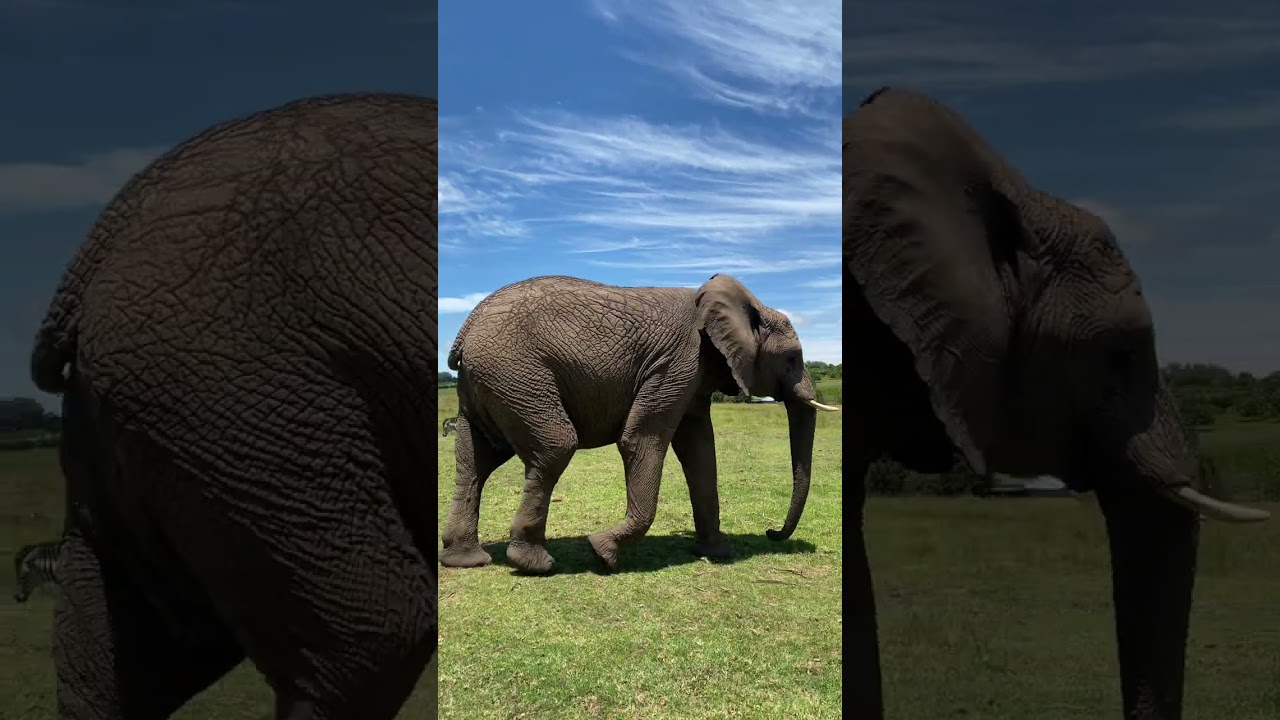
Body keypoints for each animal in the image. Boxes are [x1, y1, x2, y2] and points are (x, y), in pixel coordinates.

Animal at [438, 274, 840, 574]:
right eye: (792, 359)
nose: (772, 532)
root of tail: (466, 330)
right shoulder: (677, 362)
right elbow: (641, 439)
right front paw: (602, 551)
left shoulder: (692, 375)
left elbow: (700, 451)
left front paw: (715, 553)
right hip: (515, 372)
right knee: (555, 445)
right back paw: (535, 564)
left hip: (489, 381)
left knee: (476, 459)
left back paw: (466, 560)